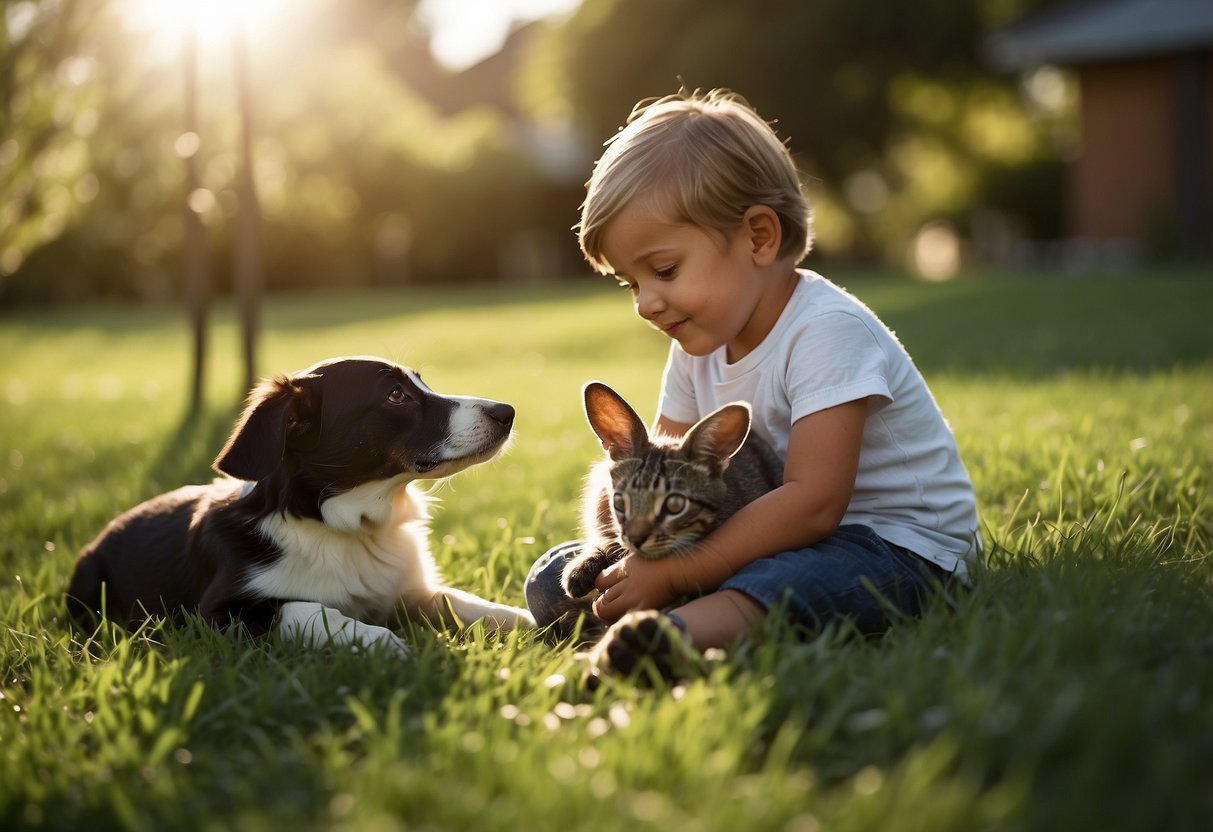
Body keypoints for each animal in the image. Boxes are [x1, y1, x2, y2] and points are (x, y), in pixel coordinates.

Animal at [67, 358, 536, 659]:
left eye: (421, 384)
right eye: (396, 395)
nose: (508, 412)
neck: (349, 528)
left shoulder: (407, 591)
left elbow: (463, 602)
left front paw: (532, 621)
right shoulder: (215, 613)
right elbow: (308, 607)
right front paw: (376, 639)